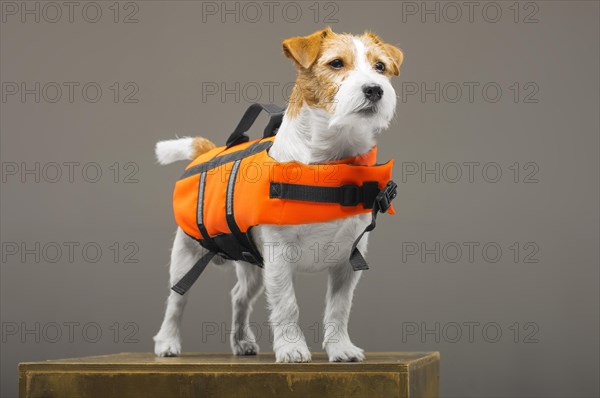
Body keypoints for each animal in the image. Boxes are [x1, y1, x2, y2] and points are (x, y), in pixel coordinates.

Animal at [152, 28, 404, 362]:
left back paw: (242, 342)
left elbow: (339, 309)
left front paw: (340, 347)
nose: (375, 89)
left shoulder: (347, 262)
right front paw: (292, 347)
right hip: (186, 255)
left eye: (380, 67)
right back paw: (167, 342)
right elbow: (286, 305)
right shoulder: (279, 258)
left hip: (252, 267)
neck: (330, 163)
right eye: (336, 63)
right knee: (176, 300)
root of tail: (208, 151)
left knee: (239, 297)